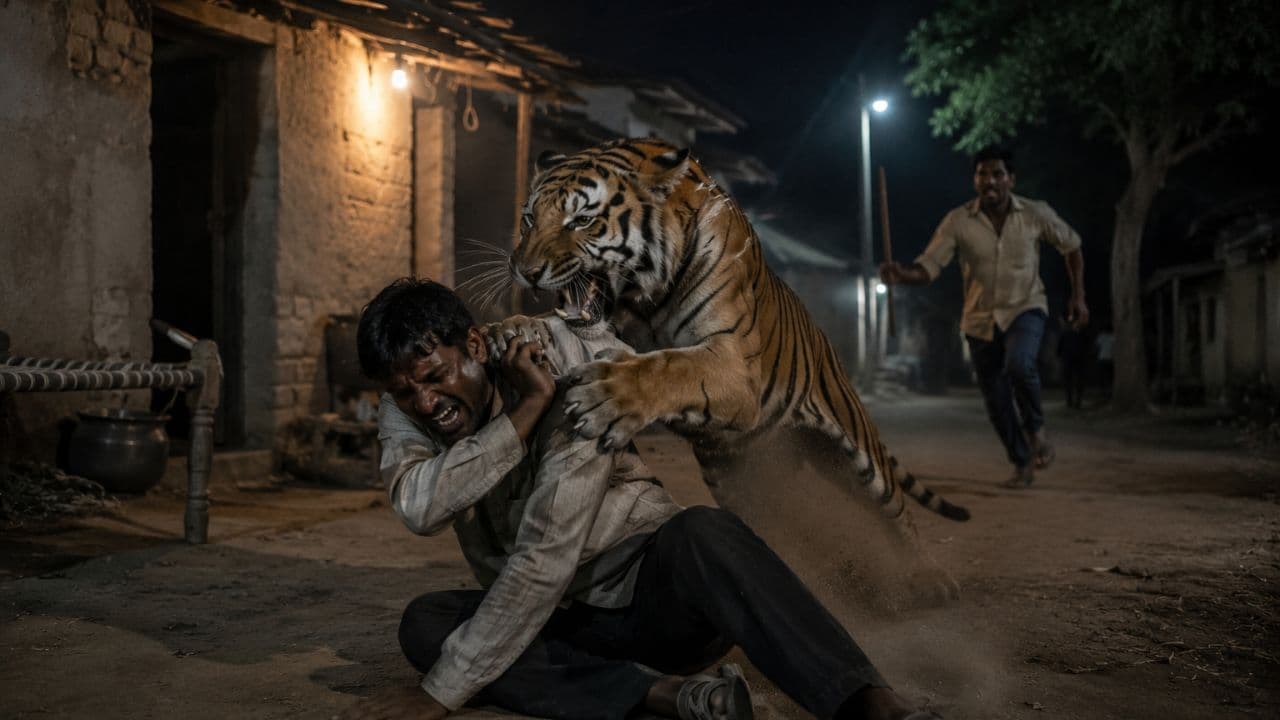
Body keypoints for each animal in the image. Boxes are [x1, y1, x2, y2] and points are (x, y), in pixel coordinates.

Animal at [507, 137, 969, 567]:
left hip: (865, 461)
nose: (525, 271)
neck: (644, 300)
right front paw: (509, 332)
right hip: (756, 476)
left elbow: (670, 366)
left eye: (582, 220)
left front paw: (605, 396)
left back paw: (928, 581)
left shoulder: (732, 362)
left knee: (900, 520)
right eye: (529, 219)